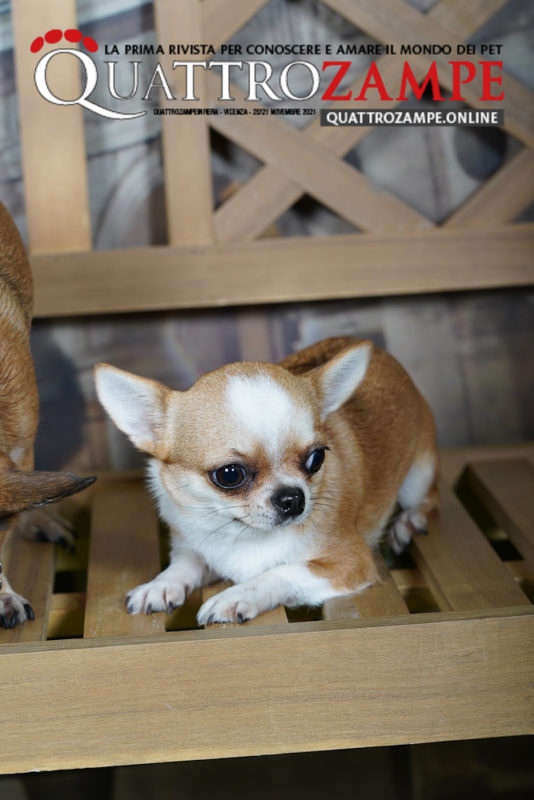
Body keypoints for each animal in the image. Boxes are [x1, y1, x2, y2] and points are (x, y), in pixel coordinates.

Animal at [95, 338, 440, 624]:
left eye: (317, 458)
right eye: (229, 474)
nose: (293, 498)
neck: (242, 535)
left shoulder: (350, 562)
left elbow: (280, 571)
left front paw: (236, 595)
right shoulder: (193, 547)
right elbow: (185, 563)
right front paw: (161, 585)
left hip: (417, 477)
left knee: (430, 499)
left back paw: (409, 522)